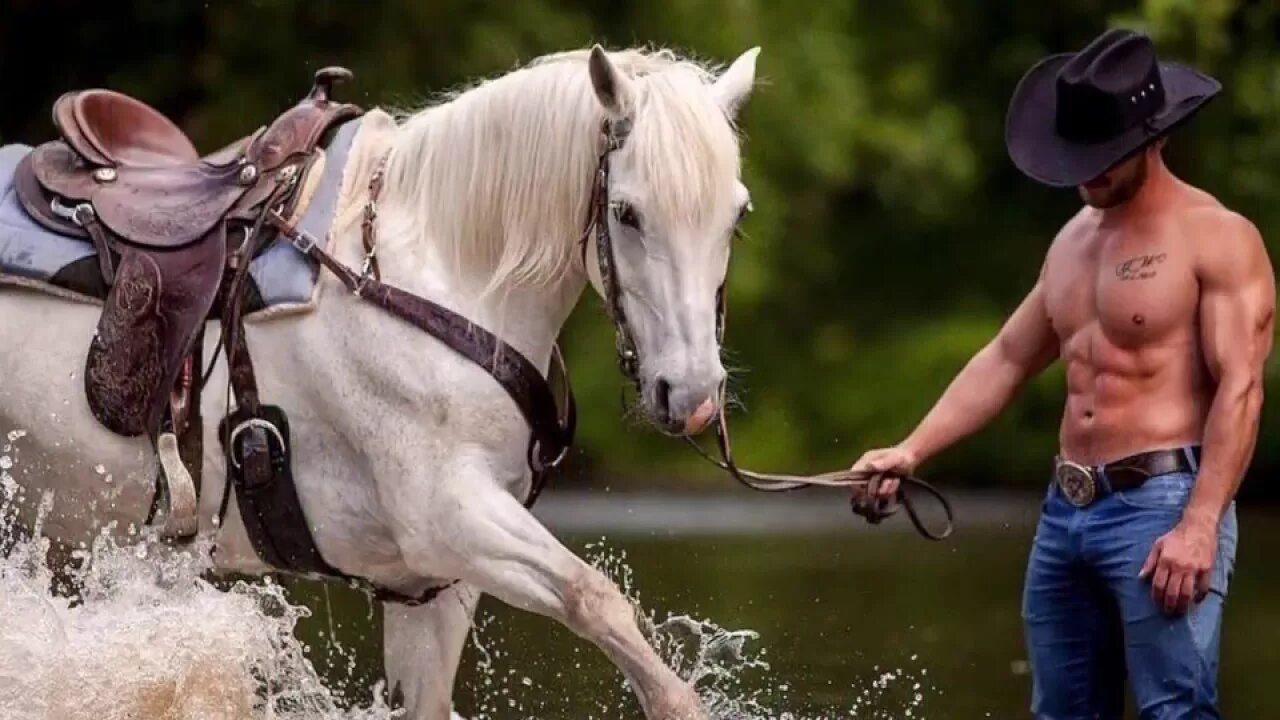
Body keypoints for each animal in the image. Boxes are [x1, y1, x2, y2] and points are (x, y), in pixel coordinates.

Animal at [0, 46, 757, 717]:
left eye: (737, 215)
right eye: (627, 212)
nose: (692, 397)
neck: (426, 282)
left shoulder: (435, 582)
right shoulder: (452, 517)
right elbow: (597, 600)